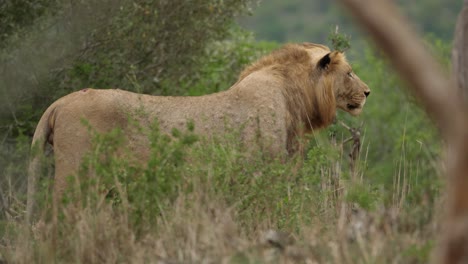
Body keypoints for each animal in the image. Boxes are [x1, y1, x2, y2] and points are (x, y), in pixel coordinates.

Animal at [25, 42, 372, 222]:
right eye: (349, 73)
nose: (368, 92)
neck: (293, 96)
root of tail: (59, 103)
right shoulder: (263, 171)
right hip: (73, 175)